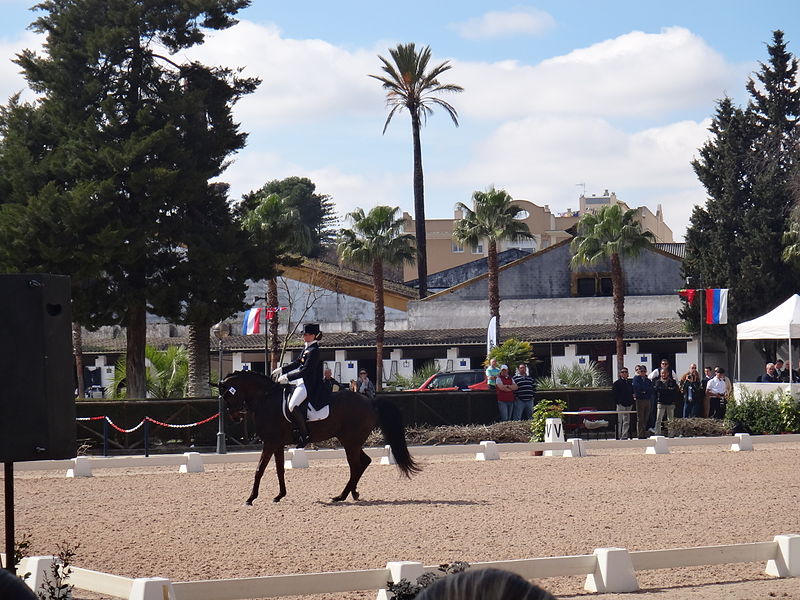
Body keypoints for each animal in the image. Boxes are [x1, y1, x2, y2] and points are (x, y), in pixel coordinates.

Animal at [217, 370, 418, 502]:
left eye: (228, 395)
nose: (235, 417)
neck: (266, 399)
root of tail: (370, 401)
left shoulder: (270, 442)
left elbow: (259, 469)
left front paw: (250, 498)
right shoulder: (277, 444)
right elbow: (279, 470)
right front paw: (279, 495)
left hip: (350, 442)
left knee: (355, 466)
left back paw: (341, 496)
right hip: (352, 442)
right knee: (363, 463)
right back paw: (352, 493)